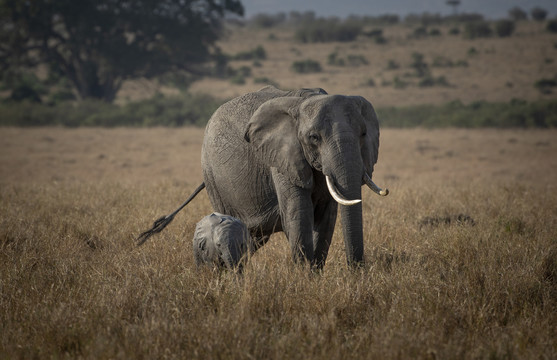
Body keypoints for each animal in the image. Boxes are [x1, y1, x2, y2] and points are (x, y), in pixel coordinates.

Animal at [138, 86, 386, 268]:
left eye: (364, 133)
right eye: (314, 137)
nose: (357, 271)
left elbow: (326, 219)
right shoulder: (281, 159)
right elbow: (298, 216)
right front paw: (305, 279)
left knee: (253, 239)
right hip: (212, 177)